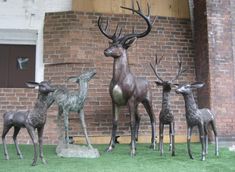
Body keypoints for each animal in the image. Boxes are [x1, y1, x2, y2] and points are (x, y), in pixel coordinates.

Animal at [98, 1, 157, 157]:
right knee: (139, 117)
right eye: (111, 43)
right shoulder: (115, 100)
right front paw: (109, 147)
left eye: (119, 45)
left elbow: (130, 122)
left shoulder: (130, 98)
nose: (105, 51)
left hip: (147, 99)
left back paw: (152, 144)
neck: (119, 80)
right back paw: (133, 142)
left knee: (152, 118)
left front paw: (133, 151)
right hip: (136, 103)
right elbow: (115, 122)